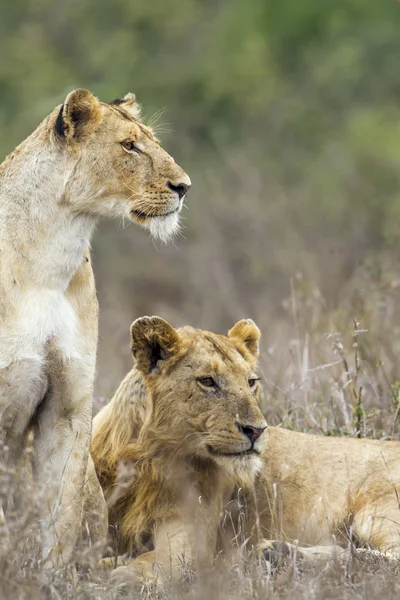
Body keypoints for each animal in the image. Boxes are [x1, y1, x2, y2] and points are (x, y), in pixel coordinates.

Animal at [0, 89, 191, 568]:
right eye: (129, 145)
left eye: (151, 140)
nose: (184, 187)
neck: (50, 253)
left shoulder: (68, 402)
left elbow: (60, 515)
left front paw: (50, 577)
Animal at [92, 316, 400, 584]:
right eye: (207, 381)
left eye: (251, 382)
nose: (257, 430)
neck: (149, 459)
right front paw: (108, 564)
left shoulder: (189, 543)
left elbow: (156, 561)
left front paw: (126, 575)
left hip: (379, 510)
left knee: (384, 560)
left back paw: (280, 554)